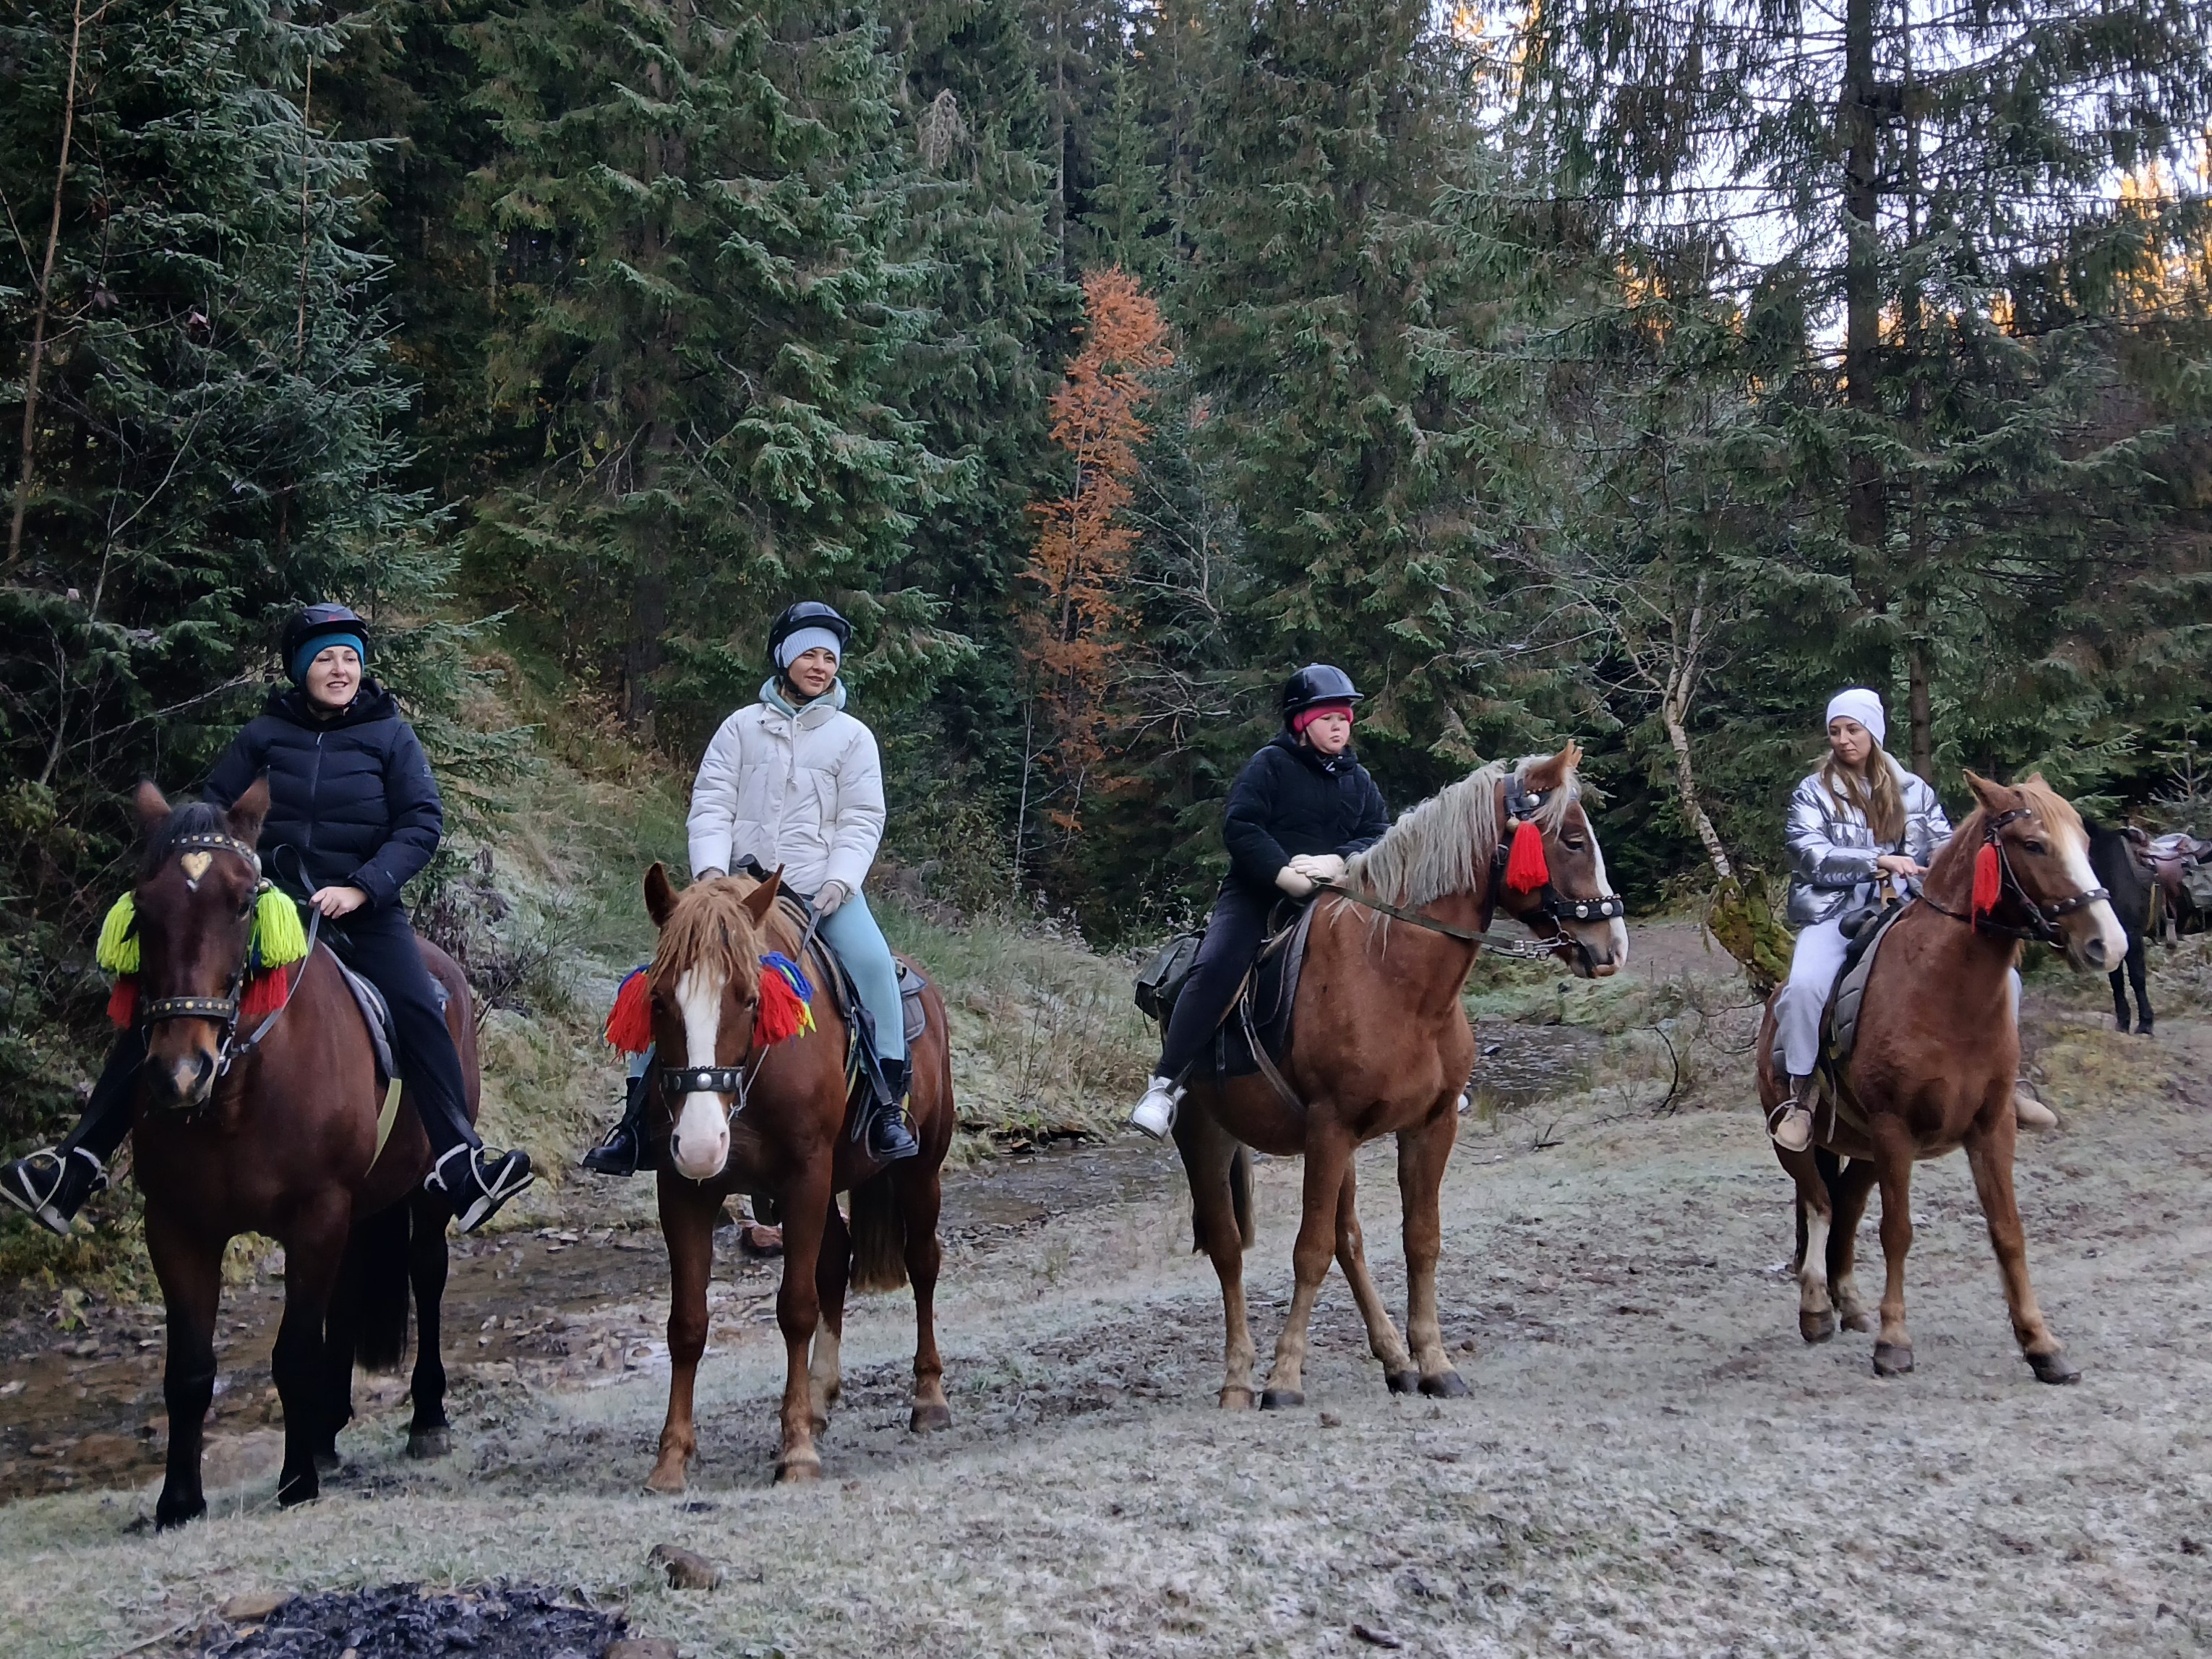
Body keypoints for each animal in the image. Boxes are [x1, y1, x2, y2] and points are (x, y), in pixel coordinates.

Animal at [124, 787, 466, 1530]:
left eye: (242, 902)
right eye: (143, 906)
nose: (180, 1072)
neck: (239, 1094)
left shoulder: (317, 1213)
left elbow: (293, 1352)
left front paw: (297, 1479)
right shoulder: (176, 1226)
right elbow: (189, 1369)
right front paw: (179, 1500)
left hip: (424, 1193)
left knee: (428, 1275)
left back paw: (426, 1418)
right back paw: (328, 1428)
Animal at [637, 871, 955, 1495]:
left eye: (750, 998)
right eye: (659, 999)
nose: (704, 1142)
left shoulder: (806, 1177)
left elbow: (796, 1308)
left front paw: (797, 1451)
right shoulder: (683, 1189)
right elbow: (687, 1322)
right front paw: (671, 1459)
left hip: (918, 1171)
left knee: (923, 1263)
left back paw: (928, 1397)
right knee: (835, 1260)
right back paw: (820, 1397)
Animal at [1176, 752, 1628, 1415]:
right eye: (1572, 839)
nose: (1613, 946)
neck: (1395, 980)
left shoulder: (1426, 1127)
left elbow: (1419, 1240)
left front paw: (1434, 1363)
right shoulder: (1330, 1127)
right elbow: (1308, 1250)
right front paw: (1284, 1378)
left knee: (1349, 1241)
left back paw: (1393, 1359)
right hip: (1208, 1137)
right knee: (1231, 1249)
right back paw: (1239, 1377)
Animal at [1760, 774, 2123, 1380]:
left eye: (2084, 842)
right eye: (2034, 844)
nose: (2109, 944)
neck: (1945, 992)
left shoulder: (1992, 1126)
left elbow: (2008, 1230)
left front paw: (2041, 1343)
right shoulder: (1894, 1129)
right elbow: (1898, 1231)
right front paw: (1894, 1341)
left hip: (1863, 1150)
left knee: (1846, 1208)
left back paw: (1849, 1301)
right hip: (1802, 1142)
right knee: (1820, 1204)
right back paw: (1816, 1308)